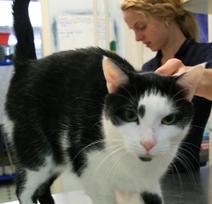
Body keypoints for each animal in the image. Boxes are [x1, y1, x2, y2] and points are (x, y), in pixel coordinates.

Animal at [2, 0, 203, 204]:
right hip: (37, 151)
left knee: (42, 188)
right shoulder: (94, 176)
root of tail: (28, 64)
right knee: (25, 188)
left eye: (169, 120)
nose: (148, 143)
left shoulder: (149, 184)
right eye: (130, 115)